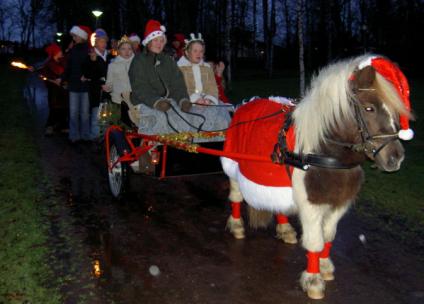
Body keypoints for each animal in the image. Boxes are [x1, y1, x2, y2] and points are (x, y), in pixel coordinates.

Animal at [220, 54, 412, 300]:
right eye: (369, 108)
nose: (396, 158)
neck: (327, 153)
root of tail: (245, 104)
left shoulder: (339, 203)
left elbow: (328, 237)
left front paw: (325, 266)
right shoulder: (312, 204)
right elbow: (315, 241)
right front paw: (313, 280)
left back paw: (284, 229)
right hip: (233, 164)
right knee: (235, 195)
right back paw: (236, 225)